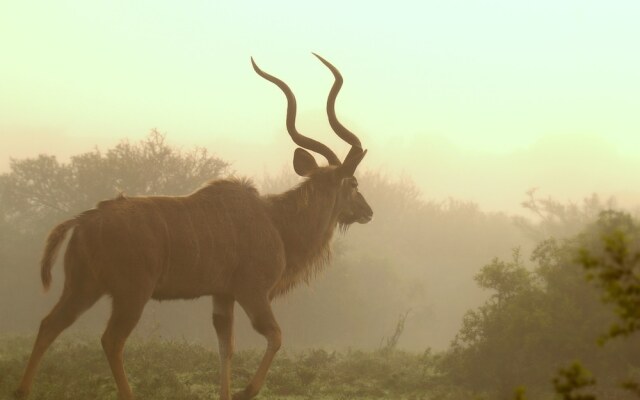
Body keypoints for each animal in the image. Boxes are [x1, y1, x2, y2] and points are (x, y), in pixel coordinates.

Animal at [15, 54, 372, 400]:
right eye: (353, 184)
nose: (368, 212)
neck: (276, 222)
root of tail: (84, 219)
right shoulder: (252, 291)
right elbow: (275, 335)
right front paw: (244, 391)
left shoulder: (222, 295)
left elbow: (226, 348)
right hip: (131, 293)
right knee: (111, 340)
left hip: (84, 287)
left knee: (50, 324)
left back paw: (23, 390)